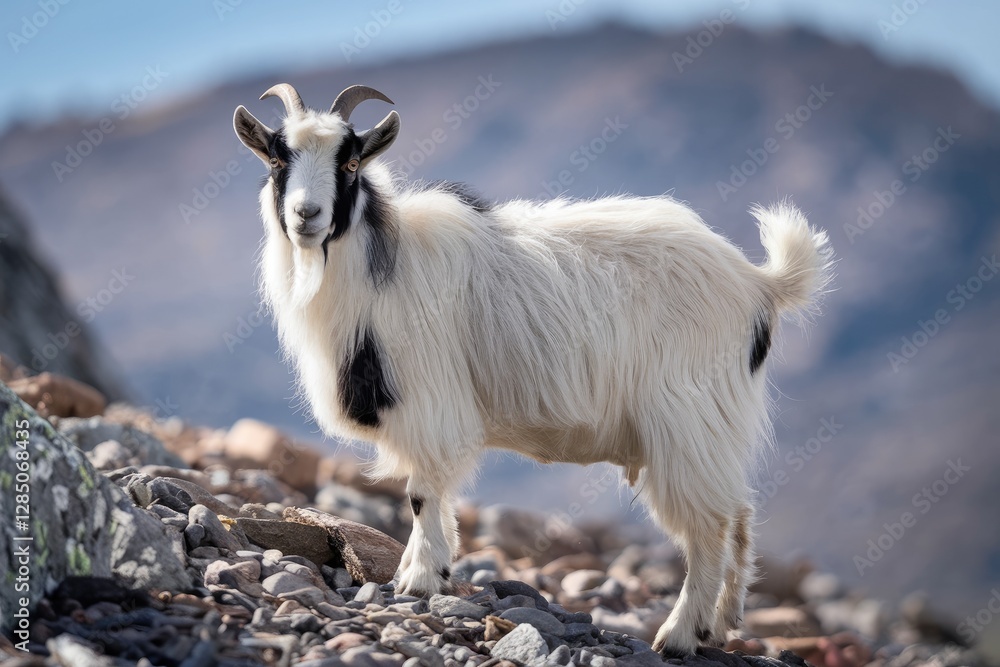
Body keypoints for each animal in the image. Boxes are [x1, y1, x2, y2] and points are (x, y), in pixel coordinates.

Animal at [233, 83, 832, 656]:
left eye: (352, 162)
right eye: (277, 159)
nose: (306, 216)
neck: (379, 266)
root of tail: (760, 284)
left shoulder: (430, 402)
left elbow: (422, 492)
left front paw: (419, 580)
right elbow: (437, 497)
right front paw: (427, 570)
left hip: (688, 420)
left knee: (709, 526)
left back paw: (681, 634)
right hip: (715, 429)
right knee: (739, 515)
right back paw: (723, 624)